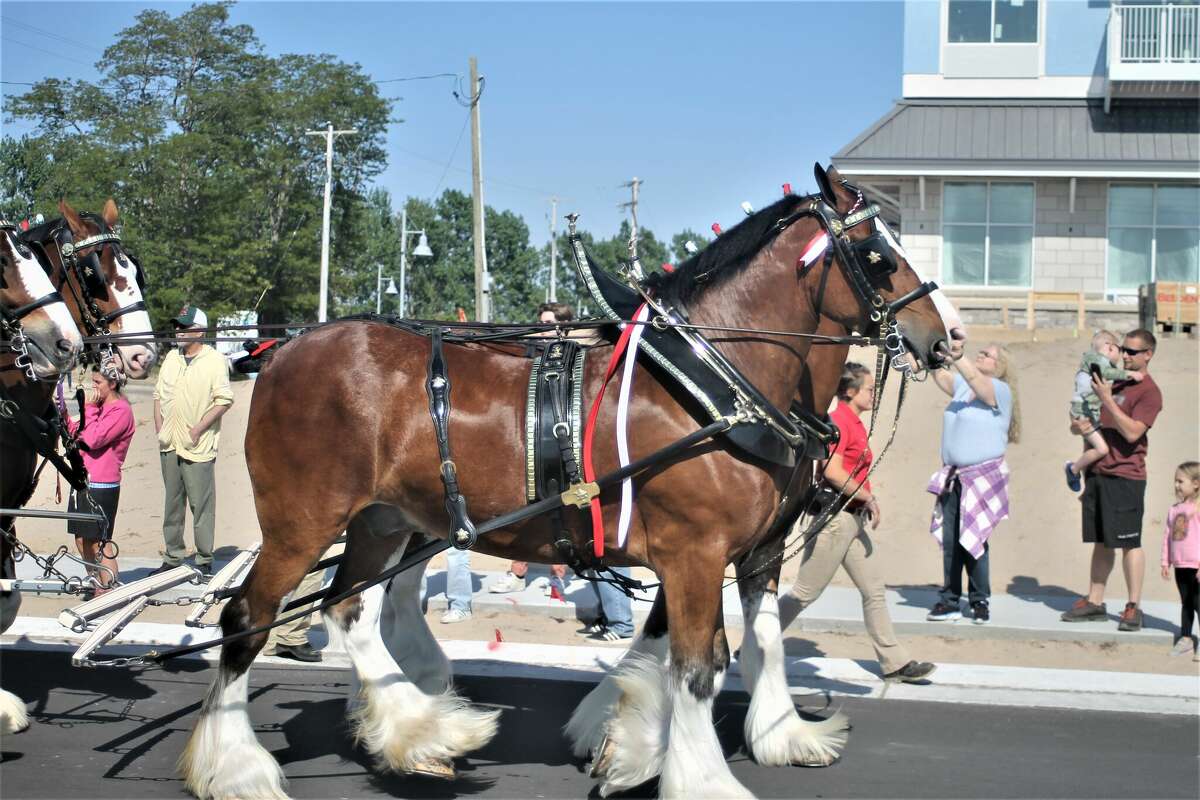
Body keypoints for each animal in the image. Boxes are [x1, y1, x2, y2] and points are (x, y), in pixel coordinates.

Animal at [182, 165, 955, 796]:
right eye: (879, 255)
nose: (944, 339)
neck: (713, 381)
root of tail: (283, 349)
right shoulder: (696, 552)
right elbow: (698, 664)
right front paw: (697, 775)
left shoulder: (748, 550)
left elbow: (751, 639)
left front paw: (752, 735)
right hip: (302, 522)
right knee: (247, 619)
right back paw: (240, 766)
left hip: (383, 521)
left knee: (350, 611)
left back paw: (424, 728)